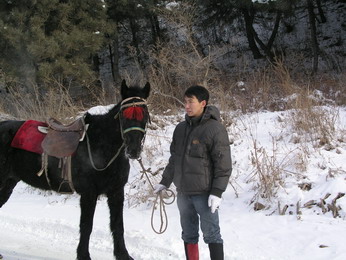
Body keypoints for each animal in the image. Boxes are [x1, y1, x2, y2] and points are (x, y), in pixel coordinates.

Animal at [0, 80, 150, 258]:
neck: (100, 145)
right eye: (123, 115)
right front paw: (83, 255)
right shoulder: (88, 193)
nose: (133, 150)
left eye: (145, 115)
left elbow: (117, 225)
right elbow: (86, 226)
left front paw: (123, 255)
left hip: (8, 183)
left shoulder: (116, 192)